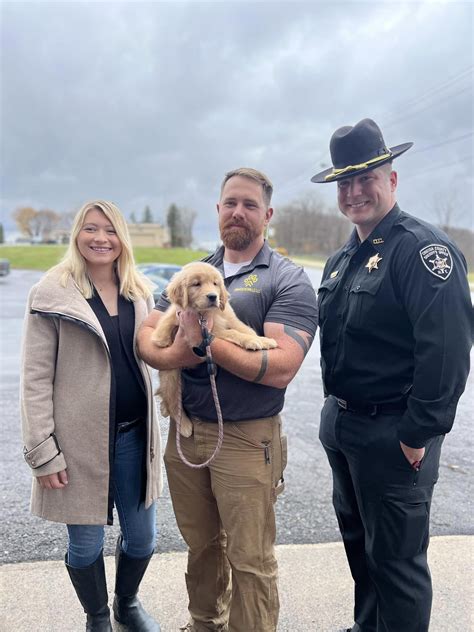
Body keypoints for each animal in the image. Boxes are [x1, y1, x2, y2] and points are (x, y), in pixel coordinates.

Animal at [152, 260, 278, 434]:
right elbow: (233, 333)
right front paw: (251, 341)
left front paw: (263, 340)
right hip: (171, 375)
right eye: (196, 284)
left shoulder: (229, 317)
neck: (206, 314)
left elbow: (244, 328)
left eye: (215, 284)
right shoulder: (212, 331)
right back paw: (184, 425)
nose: (213, 296)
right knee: (172, 401)